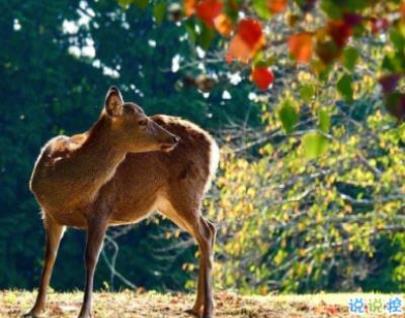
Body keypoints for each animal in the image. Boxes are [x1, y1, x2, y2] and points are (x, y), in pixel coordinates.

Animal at [26, 86, 218, 318]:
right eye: (142, 121)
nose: (174, 139)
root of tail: (213, 146)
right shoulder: (49, 214)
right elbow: (49, 258)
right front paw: (35, 309)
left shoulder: (102, 209)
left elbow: (90, 258)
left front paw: (85, 312)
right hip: (169, 203)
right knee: (208, 229)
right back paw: (196, 307)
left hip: (187, 192)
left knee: (205, 233)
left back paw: (208, 309)